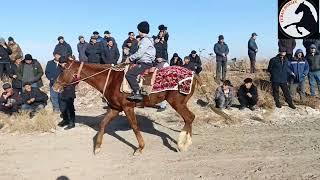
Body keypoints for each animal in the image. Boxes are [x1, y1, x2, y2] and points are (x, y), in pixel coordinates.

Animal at [52, 59, 198, 154]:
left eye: (63, 70)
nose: (54, 86)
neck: (110, 80)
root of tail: (193, 74)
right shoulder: (115, 108)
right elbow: (103, 124)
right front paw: (97, 147)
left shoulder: (127, 107)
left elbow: (134, 126)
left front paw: (140, 148)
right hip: (180, 103)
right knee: (189, 118)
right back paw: (186, 143)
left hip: (177, 103)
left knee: (189, 118)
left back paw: (182, 145)